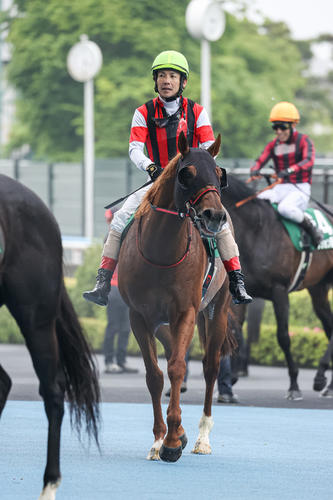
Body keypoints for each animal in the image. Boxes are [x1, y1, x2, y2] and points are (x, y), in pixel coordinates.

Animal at [118, 132, 232, 460]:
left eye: (219, 173)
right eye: (187, 173)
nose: (215, 216)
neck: (161, 250)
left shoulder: (186, 312)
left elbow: (178, 368)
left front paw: (171, 441)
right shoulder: (139, 316)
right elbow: (155, 375)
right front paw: (161, 440)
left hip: (217, 310)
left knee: (210, 366)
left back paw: (202, 438)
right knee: (170, 355)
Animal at [220, 174, 332, 400]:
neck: (256, 232)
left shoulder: (279, 291)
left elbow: (283, 337)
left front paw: (294, 385)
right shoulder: (242, 293)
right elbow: (236, 330)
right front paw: (232, 379)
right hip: (318, 288)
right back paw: (324, 380)